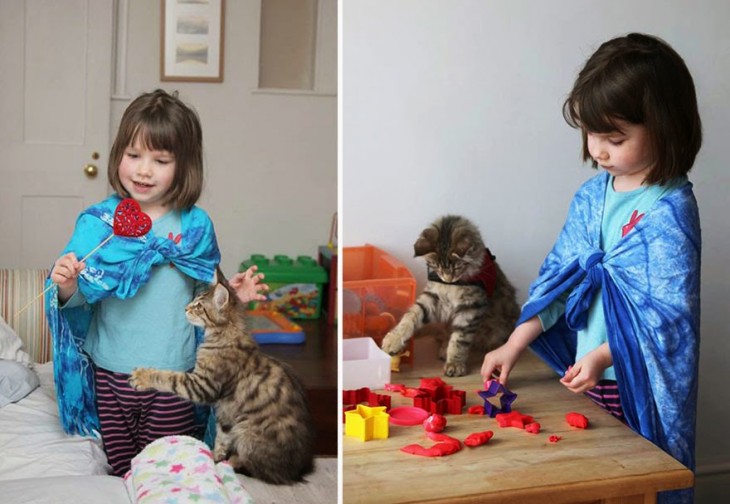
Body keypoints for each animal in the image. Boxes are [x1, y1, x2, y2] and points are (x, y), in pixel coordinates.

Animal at [131, 268, 312, 484]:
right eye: (195, 301)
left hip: (246, 431)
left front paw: (143, 376)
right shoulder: (225, 411)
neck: (223, 334)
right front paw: (214, 456)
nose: (186, 308)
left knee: (259, 470)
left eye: (199, 306)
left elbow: (170, 378)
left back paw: (235, 462)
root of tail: (297, 472)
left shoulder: (202, 385)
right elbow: (222, 437)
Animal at [378, 215, 520, 376]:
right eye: (436, 266)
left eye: (457, 267)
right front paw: (392, 340)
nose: (447, 278)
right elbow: (409, 318)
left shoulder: (471, 308)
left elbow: (460, 339)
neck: (452, 287)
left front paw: (455, 364)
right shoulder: (431, 299)